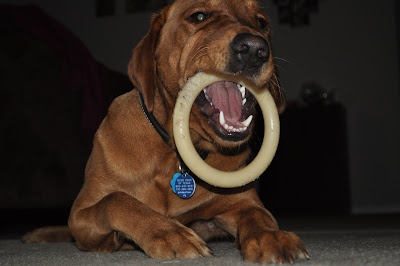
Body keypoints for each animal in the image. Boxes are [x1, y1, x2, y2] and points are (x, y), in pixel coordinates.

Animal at [23, 0, 310, 262]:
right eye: (199, 16)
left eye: (261, 22)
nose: (254, 48)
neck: (174, 155)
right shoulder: (82, 214)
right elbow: (117, 200)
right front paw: (169, 233)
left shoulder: (241, 203)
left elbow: (258, 216)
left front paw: (271, 237)